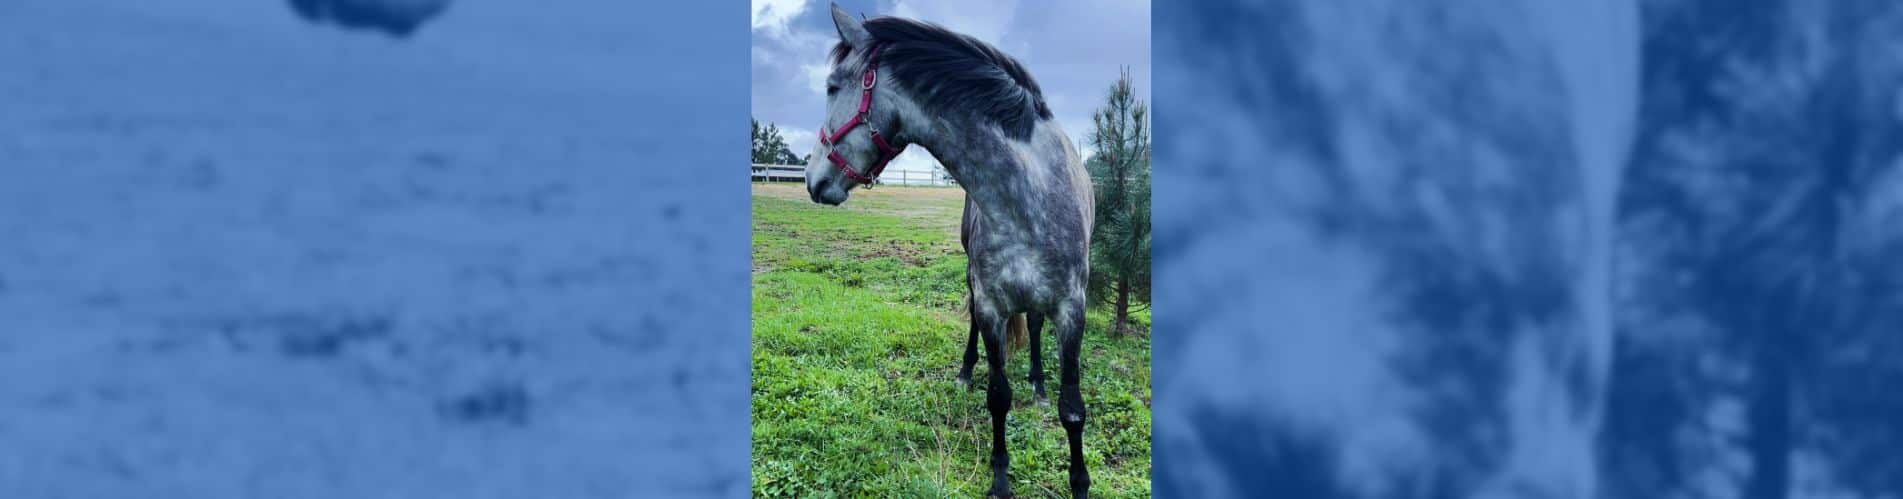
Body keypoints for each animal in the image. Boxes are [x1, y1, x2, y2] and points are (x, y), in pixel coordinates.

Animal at [805, 5, 1093, 497]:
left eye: (832, 87)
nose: (812, 178)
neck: (1028, 196)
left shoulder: (1072, 308)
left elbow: (1072, 409)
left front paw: (1079, 481)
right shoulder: (992, 305)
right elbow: (998, 396)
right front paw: (1000, 479)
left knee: (1036, 327)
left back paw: (1038, 382)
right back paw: (965, 371)